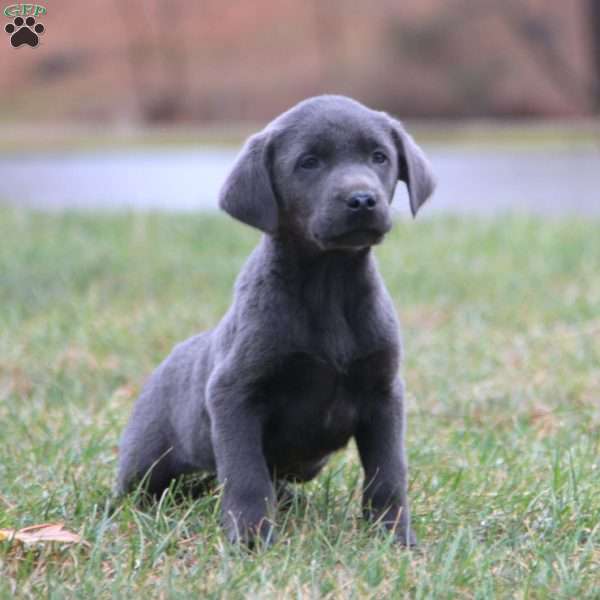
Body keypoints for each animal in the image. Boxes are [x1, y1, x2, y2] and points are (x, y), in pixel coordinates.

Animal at [116, 92, 436, 544]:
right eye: (309, 162)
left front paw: (394, 538)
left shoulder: (384, 394)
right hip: (146, 462)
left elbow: (388, 475)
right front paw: (251, 540)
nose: (361, 199)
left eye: (379, 157)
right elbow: (246, 476)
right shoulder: (234, 394)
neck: (328, 287)